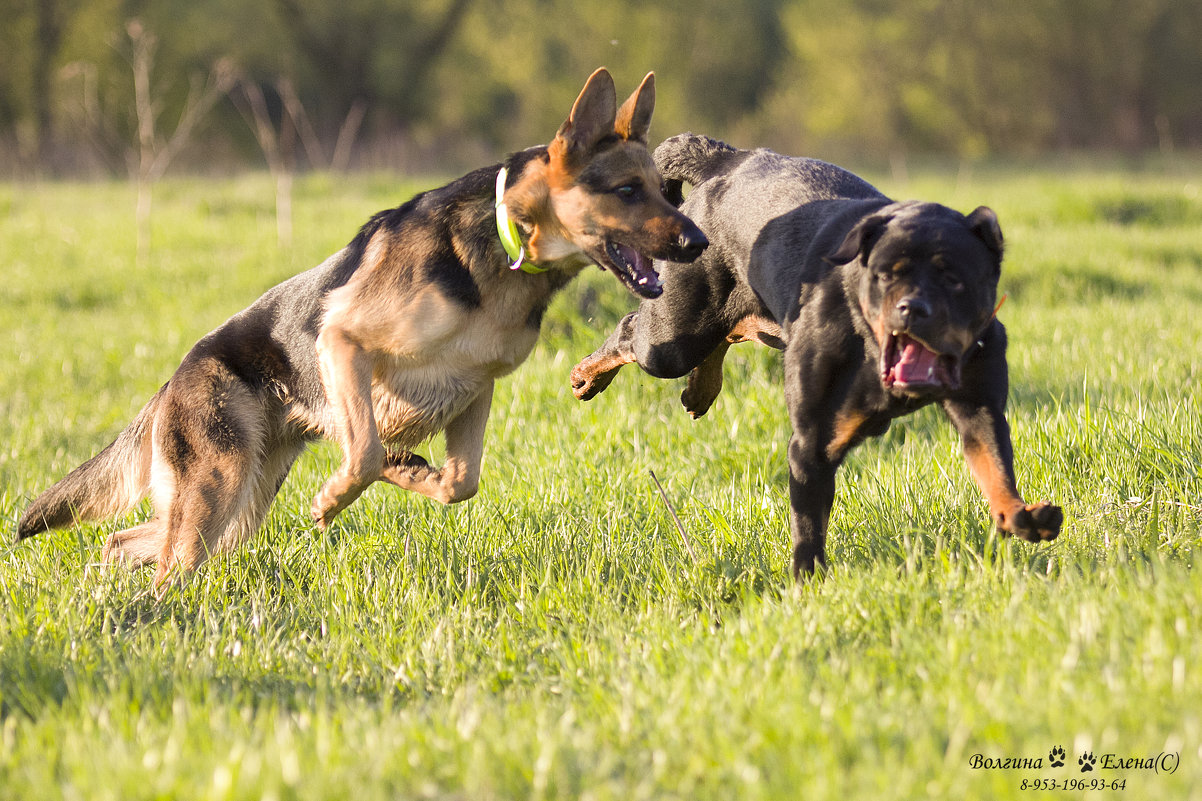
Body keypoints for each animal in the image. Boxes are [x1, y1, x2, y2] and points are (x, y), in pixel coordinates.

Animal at [18, 70, 706, 586]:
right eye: (627, 190)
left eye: (664, 192)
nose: (698, 242)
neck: (506, 242)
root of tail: (173, 381)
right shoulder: (343, 343)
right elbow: (366, 449)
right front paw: (336, 498)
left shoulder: (475, 385)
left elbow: (459, 482)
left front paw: (414, 473)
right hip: (219, 488)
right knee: (168, 562)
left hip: (238, 509)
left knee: (125, 542)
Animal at [572, 134, 1062, 577]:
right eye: (884, 276)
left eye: (953, 277)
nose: (912, 308)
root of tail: (726, 160)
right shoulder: (812, 443)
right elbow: (809, 526)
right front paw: (808, 582)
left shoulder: (980, 406)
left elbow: (994, 466)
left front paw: (1020, 515)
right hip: (675, 334)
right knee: (634, 332)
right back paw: (587, 376)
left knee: (728, 332)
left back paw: (700, 390)